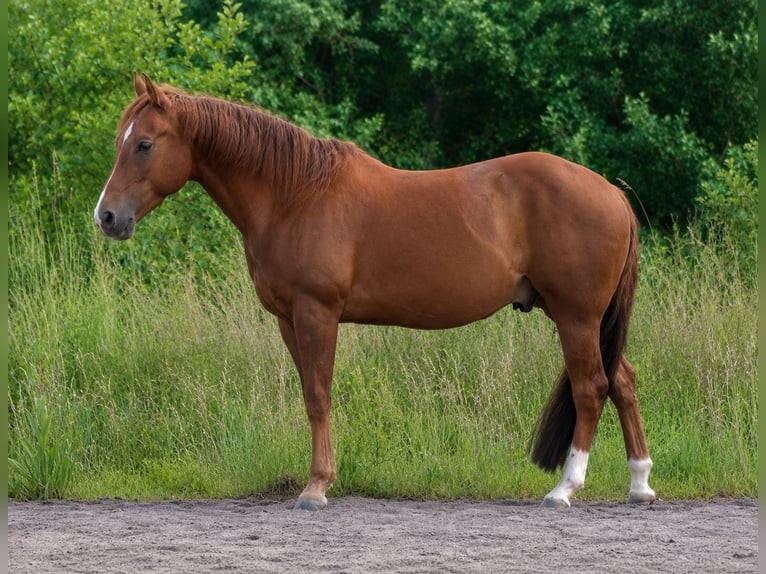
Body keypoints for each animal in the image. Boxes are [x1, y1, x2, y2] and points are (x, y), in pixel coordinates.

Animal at [95, 73, 655, 510]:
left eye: (144, 143)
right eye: (121, 139)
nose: (107, 217)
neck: (293, 194)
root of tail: (611, 192)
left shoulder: (316, 312)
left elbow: (318, 395)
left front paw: (316, 488)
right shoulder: (287, 319)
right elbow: (309, 392)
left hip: (575, 315)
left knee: (591, 388)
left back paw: (565, 488)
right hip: (584, 318)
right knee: (622, 381)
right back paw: (640, 483)